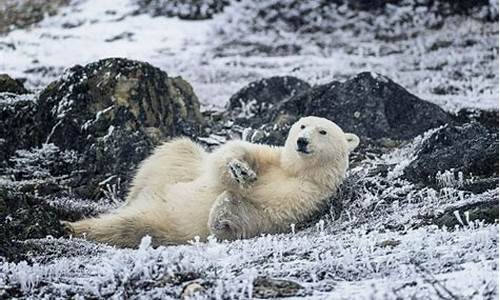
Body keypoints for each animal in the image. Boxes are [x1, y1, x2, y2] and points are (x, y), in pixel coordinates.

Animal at [65, 116, 360, 247]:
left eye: (322, 131)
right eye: (302, 126)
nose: (302, 141)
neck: (296, 171)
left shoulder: (306, 197)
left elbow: (260, 217)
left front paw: (220, 215)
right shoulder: (272, 158)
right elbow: (231, 155)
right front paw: (241, 171)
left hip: (159, 223)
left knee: (125, 227)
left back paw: (72, 227)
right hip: (170, 171)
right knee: (175, 150)